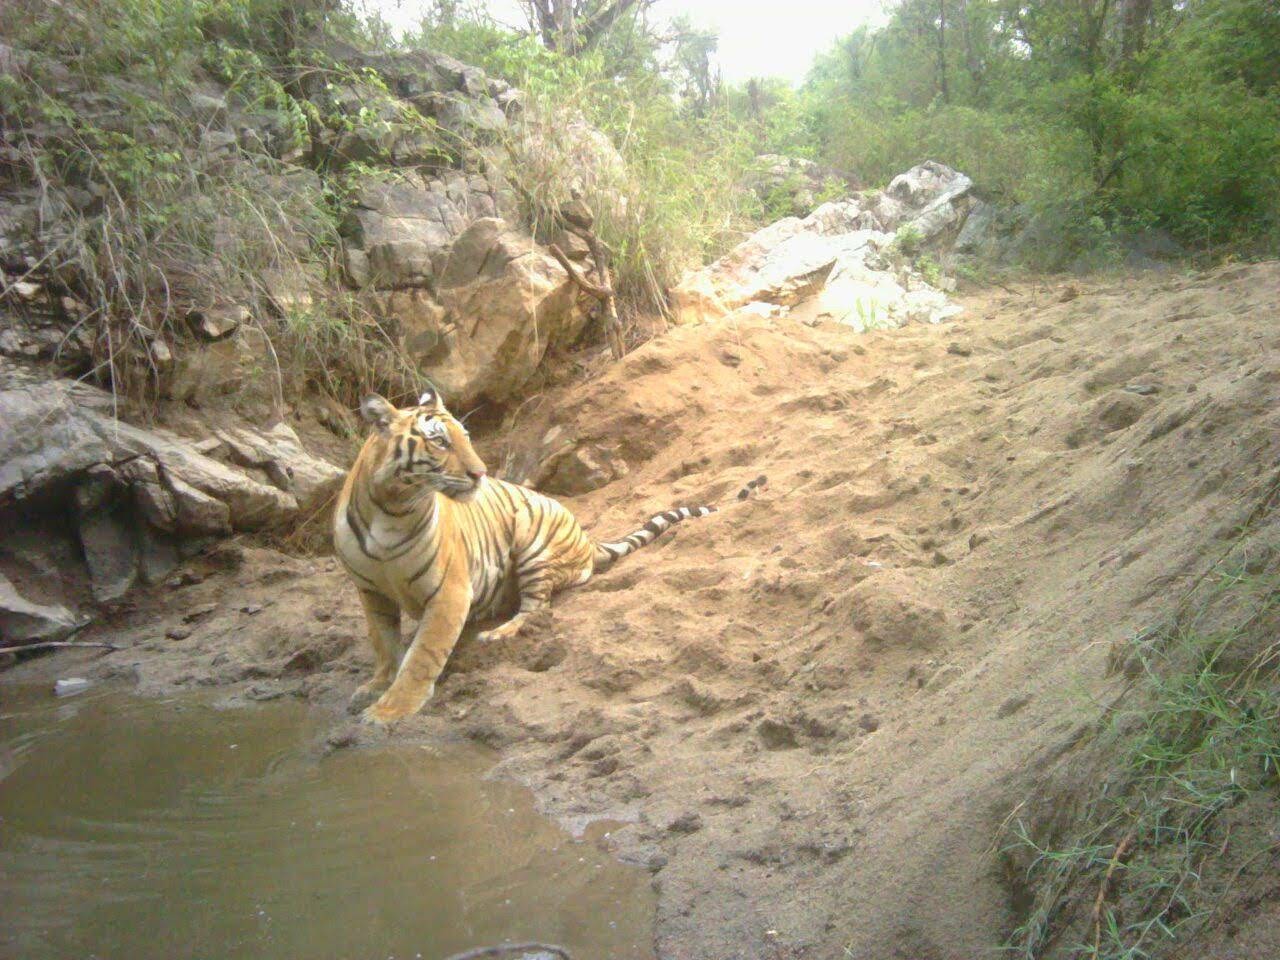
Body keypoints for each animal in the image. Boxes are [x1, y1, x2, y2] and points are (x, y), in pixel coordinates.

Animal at [335, 381, 762, 721]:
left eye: (467, 437)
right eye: (440, 441)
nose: (481, 473)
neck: (391, 509)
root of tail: (586, 536)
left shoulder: (449, 592)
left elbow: (422, 655)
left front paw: (390, 710)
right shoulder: (369, 591)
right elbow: (383, 642)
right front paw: (375, 686)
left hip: (531, 538)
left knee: (536, 608)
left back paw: (497, 634)